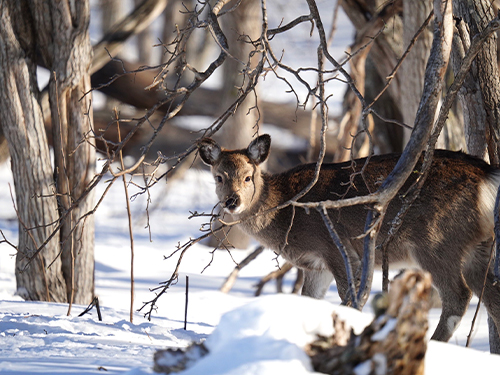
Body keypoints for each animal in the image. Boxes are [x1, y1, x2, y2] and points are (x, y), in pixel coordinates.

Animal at [196, 134, 500, 346]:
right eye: (219, 177)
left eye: (249, 177)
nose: (232, 201)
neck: (284, 213)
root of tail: (487, 176)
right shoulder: (315, 265)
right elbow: (310, 299)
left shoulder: (335, 247)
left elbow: (349, 297)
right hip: (477, 246)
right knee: (492, 294)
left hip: (436, 241)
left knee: (459, 295)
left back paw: (435, 345)